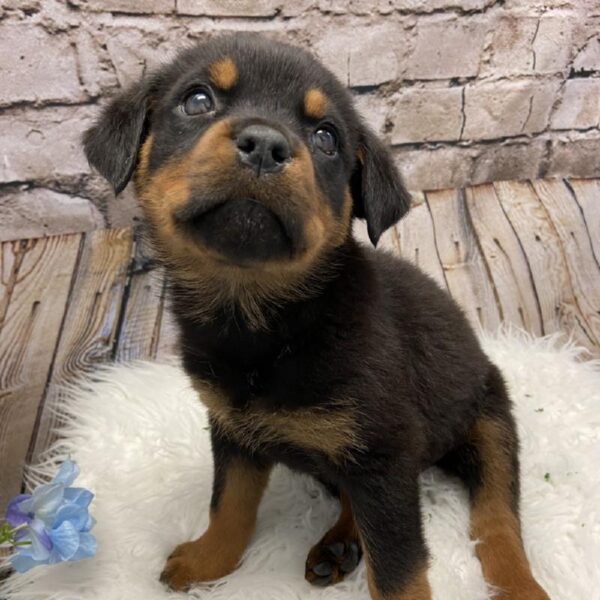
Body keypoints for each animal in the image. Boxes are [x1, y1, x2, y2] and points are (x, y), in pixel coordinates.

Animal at [83, 34, 548, 600]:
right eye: (197, 101)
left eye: (326, 137)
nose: (265, 144)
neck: (264, 321)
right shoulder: (234, 432)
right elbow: (228, 506)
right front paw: (207, 562)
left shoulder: (384, 458)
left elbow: (398, 569)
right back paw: (339, 545)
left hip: (490, 422)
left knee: (498, 518)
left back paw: (518, 583)